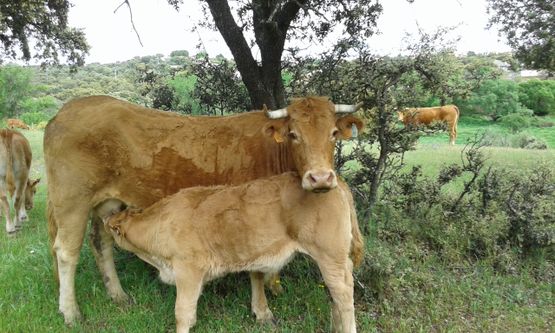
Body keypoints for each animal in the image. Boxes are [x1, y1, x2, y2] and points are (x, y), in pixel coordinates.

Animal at [99, 172, 362, 330]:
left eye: (112, 224)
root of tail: (336, 181)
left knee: (344, 295)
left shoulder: (188, 270)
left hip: (331, 257)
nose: (104, 219)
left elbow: (182, 312)